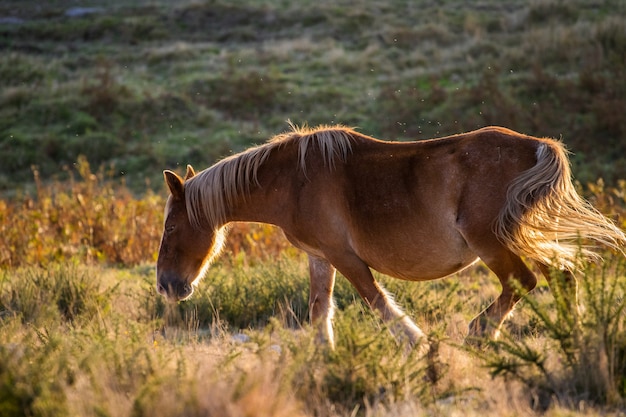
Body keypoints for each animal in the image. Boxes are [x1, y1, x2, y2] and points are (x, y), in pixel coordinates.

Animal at [156, 124, 624, 348]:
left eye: (171, 227)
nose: (166, 286)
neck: (294, 180)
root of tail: (537, 145)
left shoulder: (344, 256)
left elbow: (376, 301)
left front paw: (418, 343)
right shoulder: (320, 257)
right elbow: (319, 310)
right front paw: (323, 355)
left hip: (493, 242)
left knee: (523, 282)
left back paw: (479, 334)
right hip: (521, 237)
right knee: (561, 277)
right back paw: (574, 335)